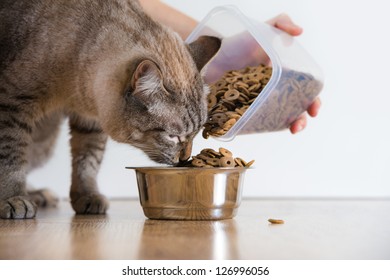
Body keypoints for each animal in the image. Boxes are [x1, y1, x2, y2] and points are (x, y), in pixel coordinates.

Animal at [0, 0, 219, 219]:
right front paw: (13, 198)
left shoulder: (90, 121)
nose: (185, 158)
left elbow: (88, 162)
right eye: (173, 137)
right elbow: (11, 157)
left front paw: (88, 196)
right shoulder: (12, 104)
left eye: (195, 134)